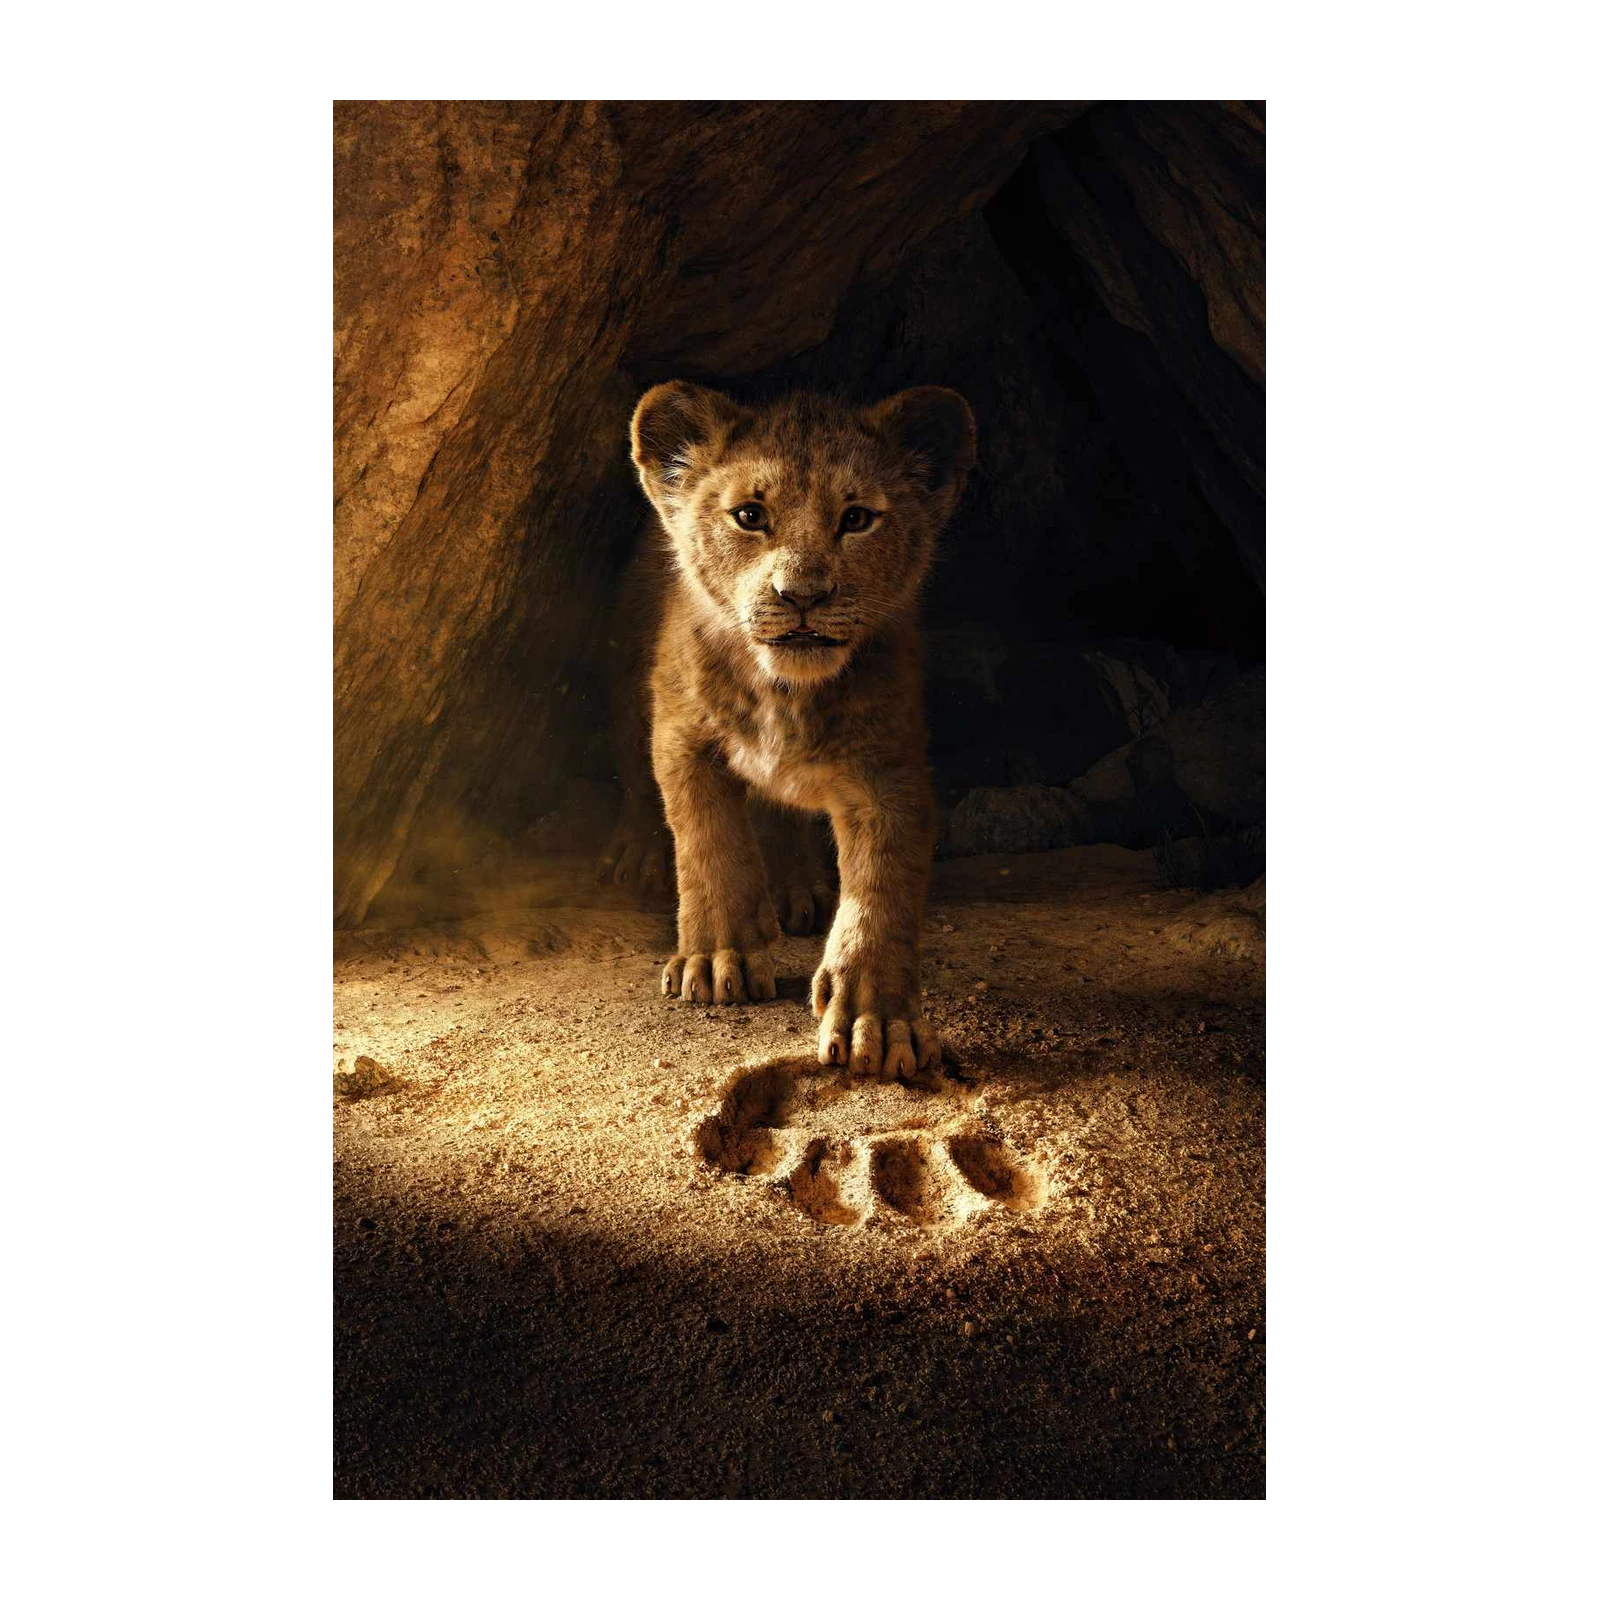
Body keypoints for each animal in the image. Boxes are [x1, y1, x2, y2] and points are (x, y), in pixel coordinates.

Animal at [622, 382, 976, 1079]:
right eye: (749, 516)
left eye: (858, 518)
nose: (802, 595)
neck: (785, 692)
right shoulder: (681, 736)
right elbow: (709, 844)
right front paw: (718, 958)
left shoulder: (887, 769)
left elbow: (881, 889)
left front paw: (877, 1019)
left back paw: (795, 890)